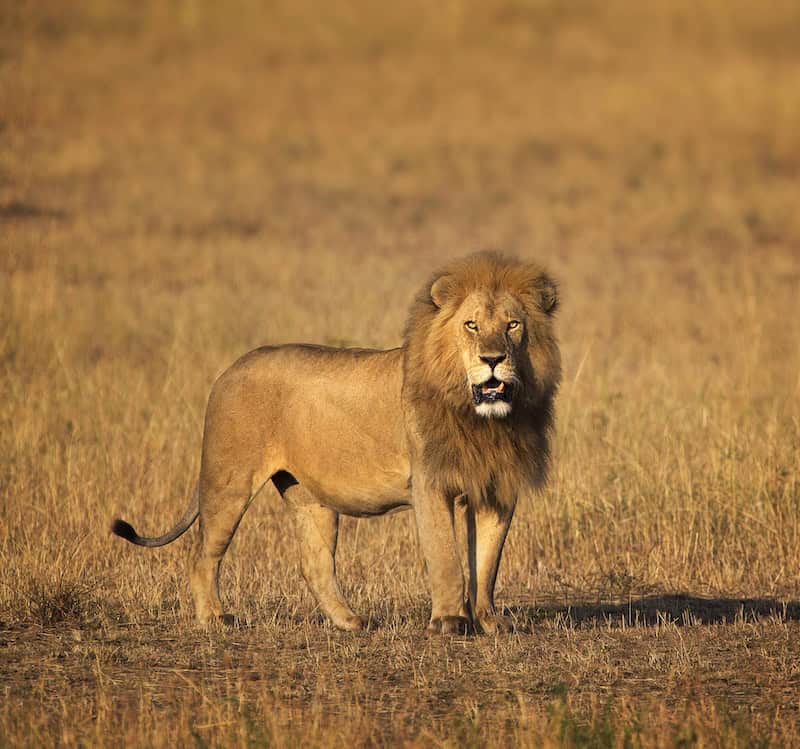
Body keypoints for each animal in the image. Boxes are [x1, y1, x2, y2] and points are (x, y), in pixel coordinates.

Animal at [112, 251, 561, 634]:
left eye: (513, 325)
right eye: (471, 325)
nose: (492, 359)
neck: (484, 422)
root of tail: (228, 370)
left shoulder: (498, 487)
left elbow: (486, 561)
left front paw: (489, 621)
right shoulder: (431, 483)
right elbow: (446, 557)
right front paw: (450, 621)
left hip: (310, 498)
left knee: (313, 564)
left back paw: (351, 622)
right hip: (229, 481)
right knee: (201, 556)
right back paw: (215, 619)